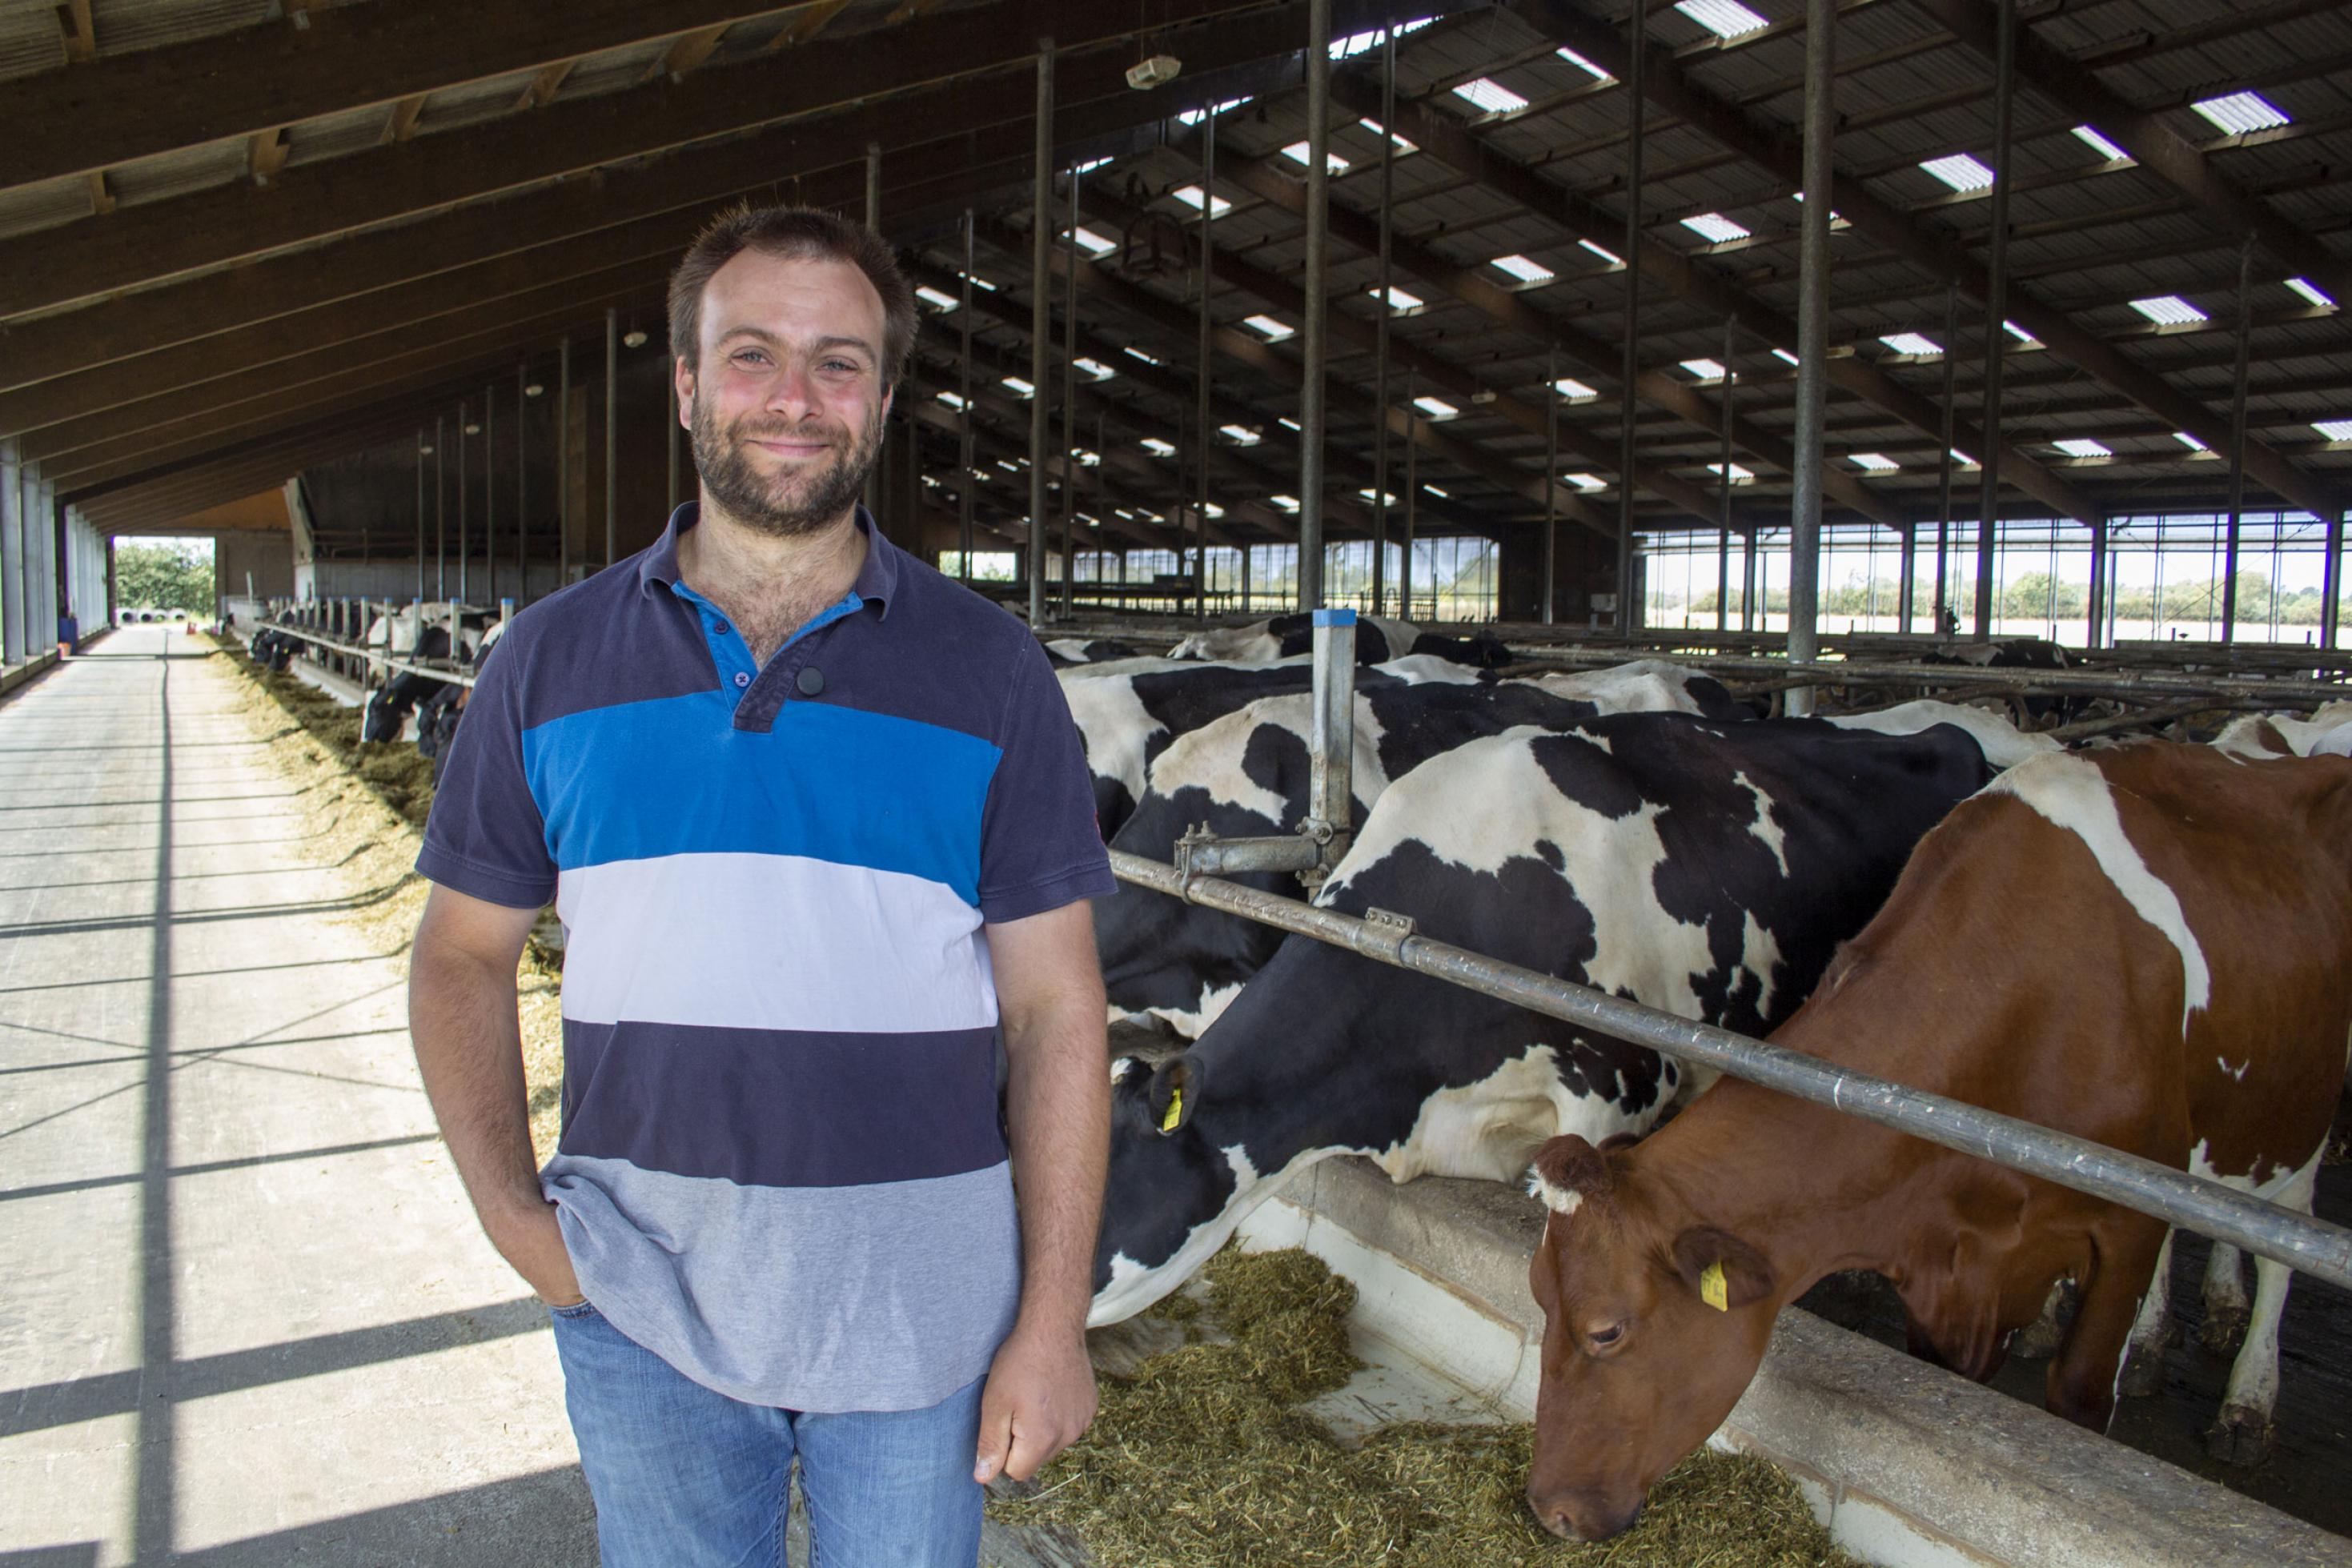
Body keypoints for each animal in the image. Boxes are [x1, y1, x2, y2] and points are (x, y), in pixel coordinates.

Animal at [1515, 743, 2342, 1542]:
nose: (1549, 1509)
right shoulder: (1948, 1266)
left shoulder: (2129, 1219)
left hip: (2302, 1114)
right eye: (1538, 1297)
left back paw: (2247, 1397)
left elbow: (2081, 1390)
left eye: (1607, 1329)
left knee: (2282, 1233)